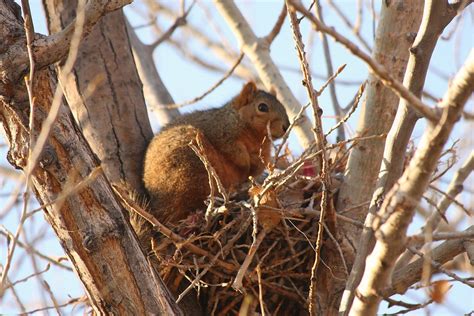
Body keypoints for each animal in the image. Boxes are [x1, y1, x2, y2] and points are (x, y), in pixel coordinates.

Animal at [142, 81, 288, 225]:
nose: (286, 126)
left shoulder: (264, 152)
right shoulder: (220, 132)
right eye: (262, 107)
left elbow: (259, 166)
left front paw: (252, 170)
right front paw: (246, 165)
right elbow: (234, 152)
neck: (255, 137)